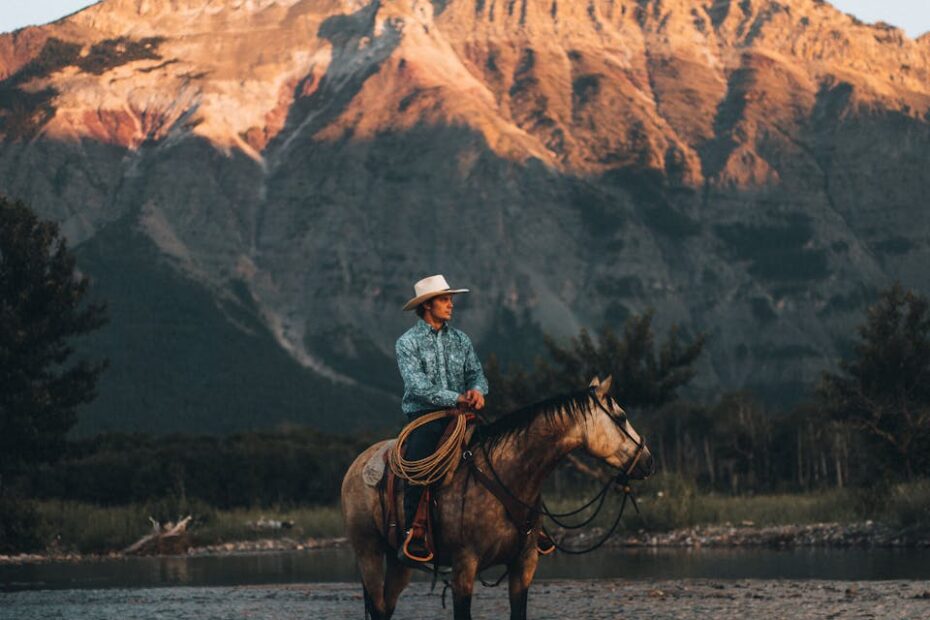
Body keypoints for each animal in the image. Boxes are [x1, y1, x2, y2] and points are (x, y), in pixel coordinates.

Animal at [338, 372, 652, 620]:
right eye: (621, 417)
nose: (648, 461)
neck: (509, 475)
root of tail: (357, 464)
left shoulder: (524, 566)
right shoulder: (464, 567)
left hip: (398, 560)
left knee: (386, 607)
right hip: (368, 551)